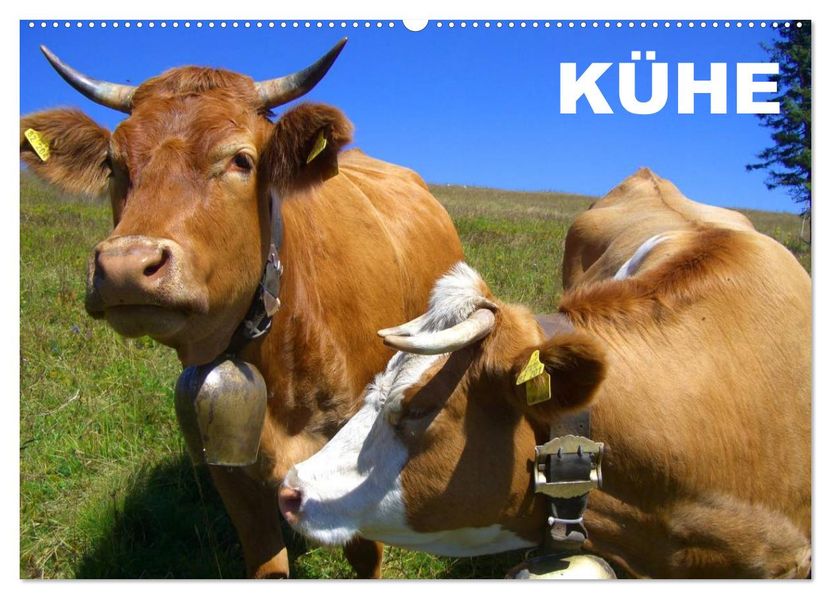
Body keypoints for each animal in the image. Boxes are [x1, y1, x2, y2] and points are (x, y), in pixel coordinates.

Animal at [20, 40, 464, 578]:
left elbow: (365, 552)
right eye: (113, 164)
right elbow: (267, 565)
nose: (125, 266)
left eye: (241, 160)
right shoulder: (230, 470)